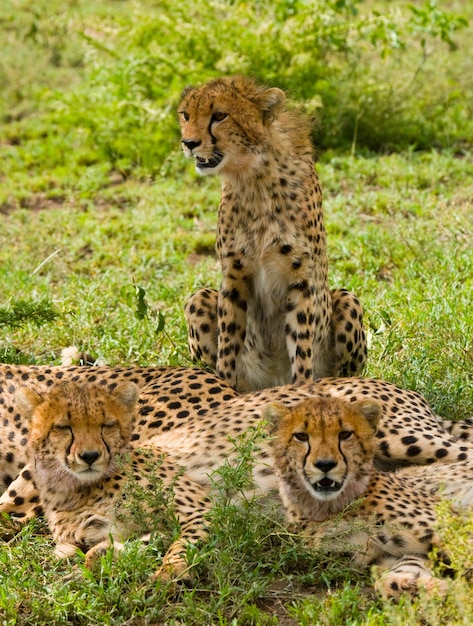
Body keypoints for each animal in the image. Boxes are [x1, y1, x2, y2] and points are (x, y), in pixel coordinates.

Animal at [178, 75, 366, 390]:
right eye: (186, 115)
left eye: (219, 116)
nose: (189, 143)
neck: (252, 175)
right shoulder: (234, 275)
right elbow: (228, 343)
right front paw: (225, 390)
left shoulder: (301, 279)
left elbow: (301, 346)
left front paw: (301, 391)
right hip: (199, 299)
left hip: (347, 301)